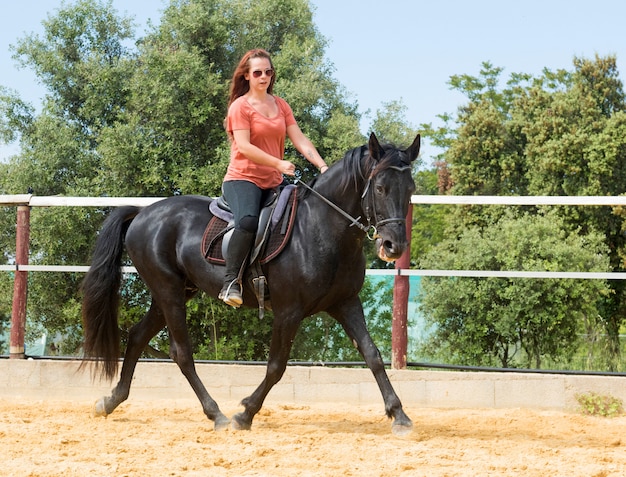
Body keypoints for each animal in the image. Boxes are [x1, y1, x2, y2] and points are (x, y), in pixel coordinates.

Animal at [80, 132, 416, 434]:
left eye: (410, 190)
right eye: (381, 188)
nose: (393, 246)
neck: (321, 228)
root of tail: (143, 213)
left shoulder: (345, 303)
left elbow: (372, 355)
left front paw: (399, 416)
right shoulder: (288, 312)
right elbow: (276, 367)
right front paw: (245, 414)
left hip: (174, 292)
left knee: (137, 336)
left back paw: (110, 401)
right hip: (168, 291)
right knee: (181, 353)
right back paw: (216, 414)